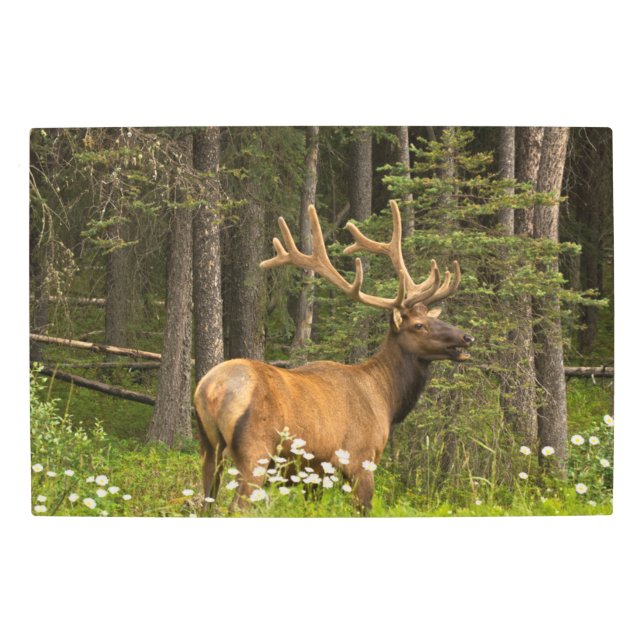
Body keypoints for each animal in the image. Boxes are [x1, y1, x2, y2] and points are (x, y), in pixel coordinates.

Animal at [194, 200, 474, 513]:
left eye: (432, 319)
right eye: (418, 325)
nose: (466, 338)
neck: (386, 399)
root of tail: (210, 390)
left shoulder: (315, 473)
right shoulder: (361, 459)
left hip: (208, 448)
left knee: (205, 504)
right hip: (255, 451)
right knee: (237, 507)